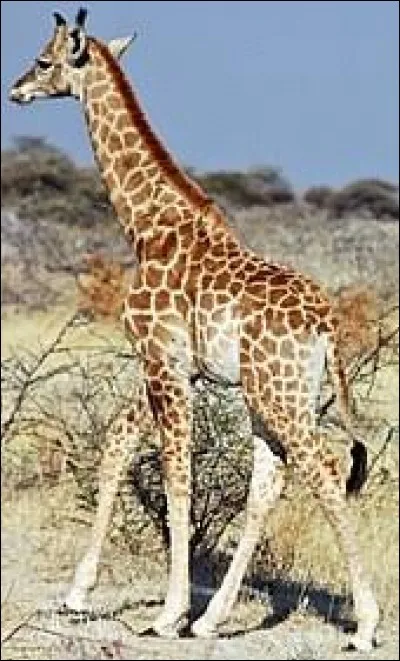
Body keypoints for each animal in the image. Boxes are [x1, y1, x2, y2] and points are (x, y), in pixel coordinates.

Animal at [10, 9, 379, 651]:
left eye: (44, 60)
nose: (16, 90)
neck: (146, 224)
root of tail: (327, 323)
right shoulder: (167, 365)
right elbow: (117, 444)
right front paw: (79, 594)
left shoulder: (163, 361)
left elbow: (177, 477)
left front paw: (167, 613)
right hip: (273, 398)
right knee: (268, 485)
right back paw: (214, 618)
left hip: (280, 397)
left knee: (326, 473)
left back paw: (364, 625)